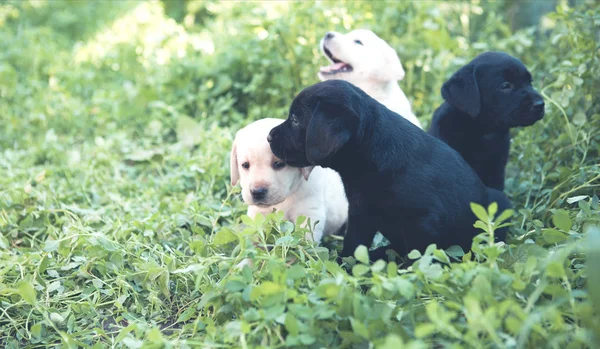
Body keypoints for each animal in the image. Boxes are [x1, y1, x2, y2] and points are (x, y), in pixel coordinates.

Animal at [270, 80, 508, 262]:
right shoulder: (360, 213)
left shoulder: (423, 223)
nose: (269, 136)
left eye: (295, 120)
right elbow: (353, 245)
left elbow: (417, 259)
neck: (373, 155)